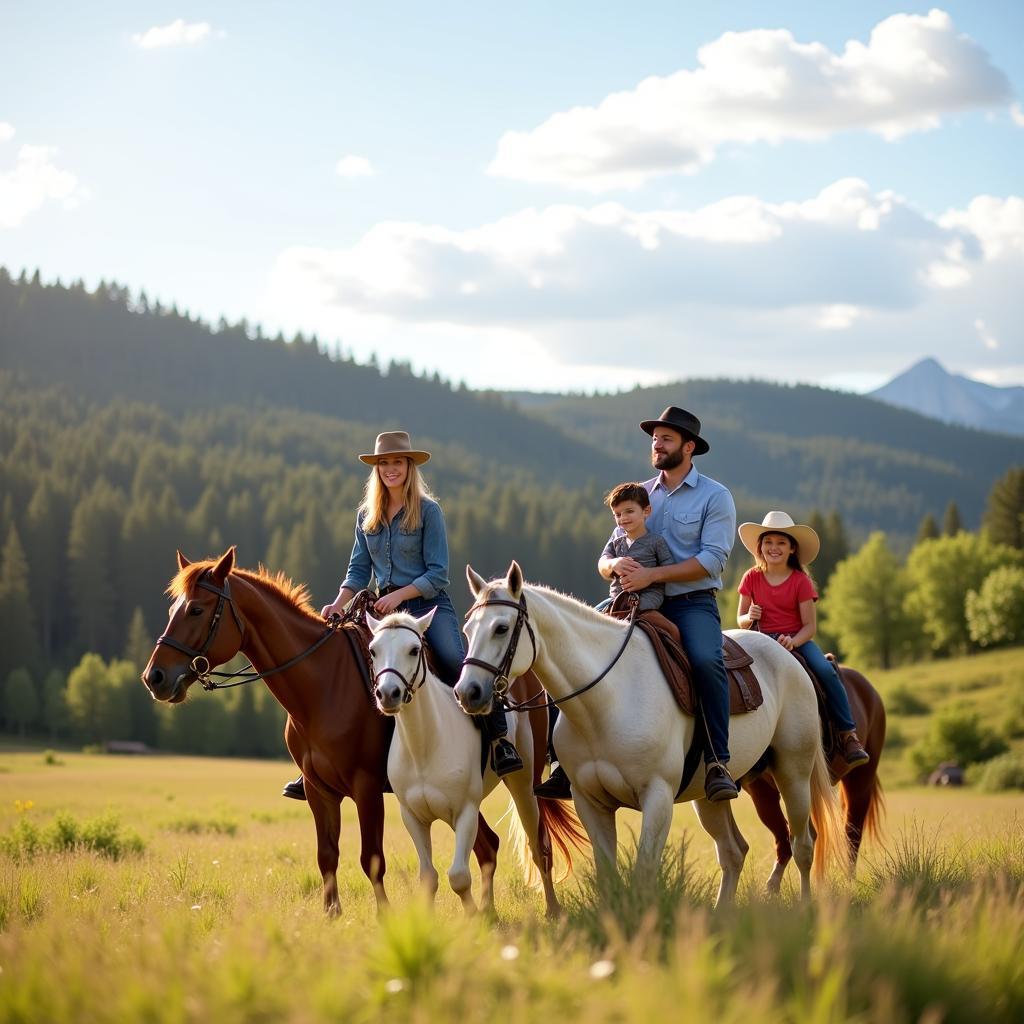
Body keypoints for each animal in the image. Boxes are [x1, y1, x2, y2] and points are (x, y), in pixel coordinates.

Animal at [140, 548, 503, 917]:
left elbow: (372, 858)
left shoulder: (366, 788)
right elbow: (327, 855)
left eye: (196, 609)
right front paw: (331, 914)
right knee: (487, 845)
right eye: (172, 610)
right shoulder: (318, 789)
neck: (323, 687)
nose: (154, 677)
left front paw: (383, 915)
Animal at [366, 606, 589, 921]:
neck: (425, 743)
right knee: (490, 847)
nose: (388, 694)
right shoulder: (413, 816)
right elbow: (429, 876)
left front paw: (472, 915)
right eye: (373, 650)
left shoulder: (465, 812)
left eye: (413, 650)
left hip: (524, 786)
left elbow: (458, 876)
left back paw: (552, 909)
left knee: (539, 847)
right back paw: (490, 908)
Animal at [456, 561, 839, 905]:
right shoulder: (589, 801)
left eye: (501, 628)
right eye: (467, 629)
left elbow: (643, 873)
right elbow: (608, 875)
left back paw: (806, 907)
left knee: (804, 845)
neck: (607, 698)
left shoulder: (657, 797)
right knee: (734, 852)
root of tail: (786, 654)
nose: (467, 692)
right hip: (709, 797)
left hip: (793, 773)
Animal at [749, 663, 884, 888]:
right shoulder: (760, 788)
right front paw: (772, 887)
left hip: (862, 778)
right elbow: (783, 835)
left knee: (852, 832)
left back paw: (849, 880)